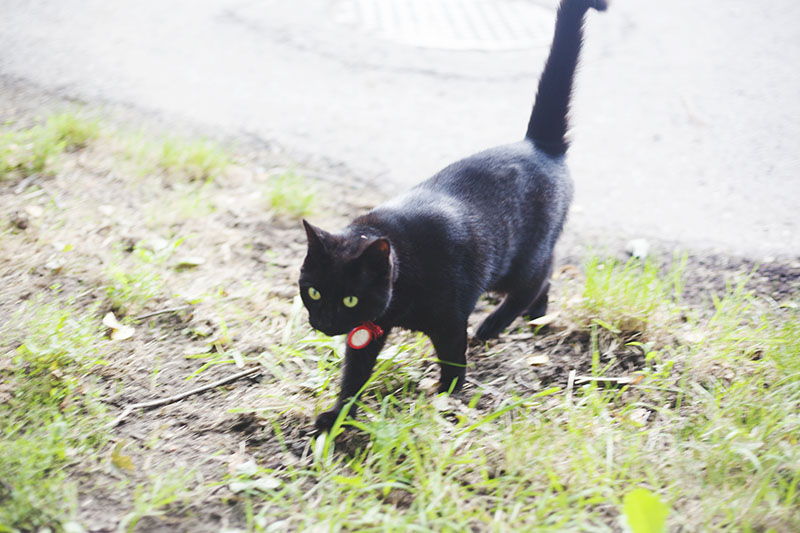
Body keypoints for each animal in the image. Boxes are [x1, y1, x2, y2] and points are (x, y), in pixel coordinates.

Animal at [298, 0, 608, 432]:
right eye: (313, 292)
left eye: (348, 299)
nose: (325, 322)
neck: (404, 277)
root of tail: (539, 145)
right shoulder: (368, 330)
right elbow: (355, 374)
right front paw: (338, 415)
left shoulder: (448, 320)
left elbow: (452, 359)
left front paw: (446, 398)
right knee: (545, 277)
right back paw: (537, 315)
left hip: (517, 260)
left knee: (541, 274)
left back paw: (494, 324)